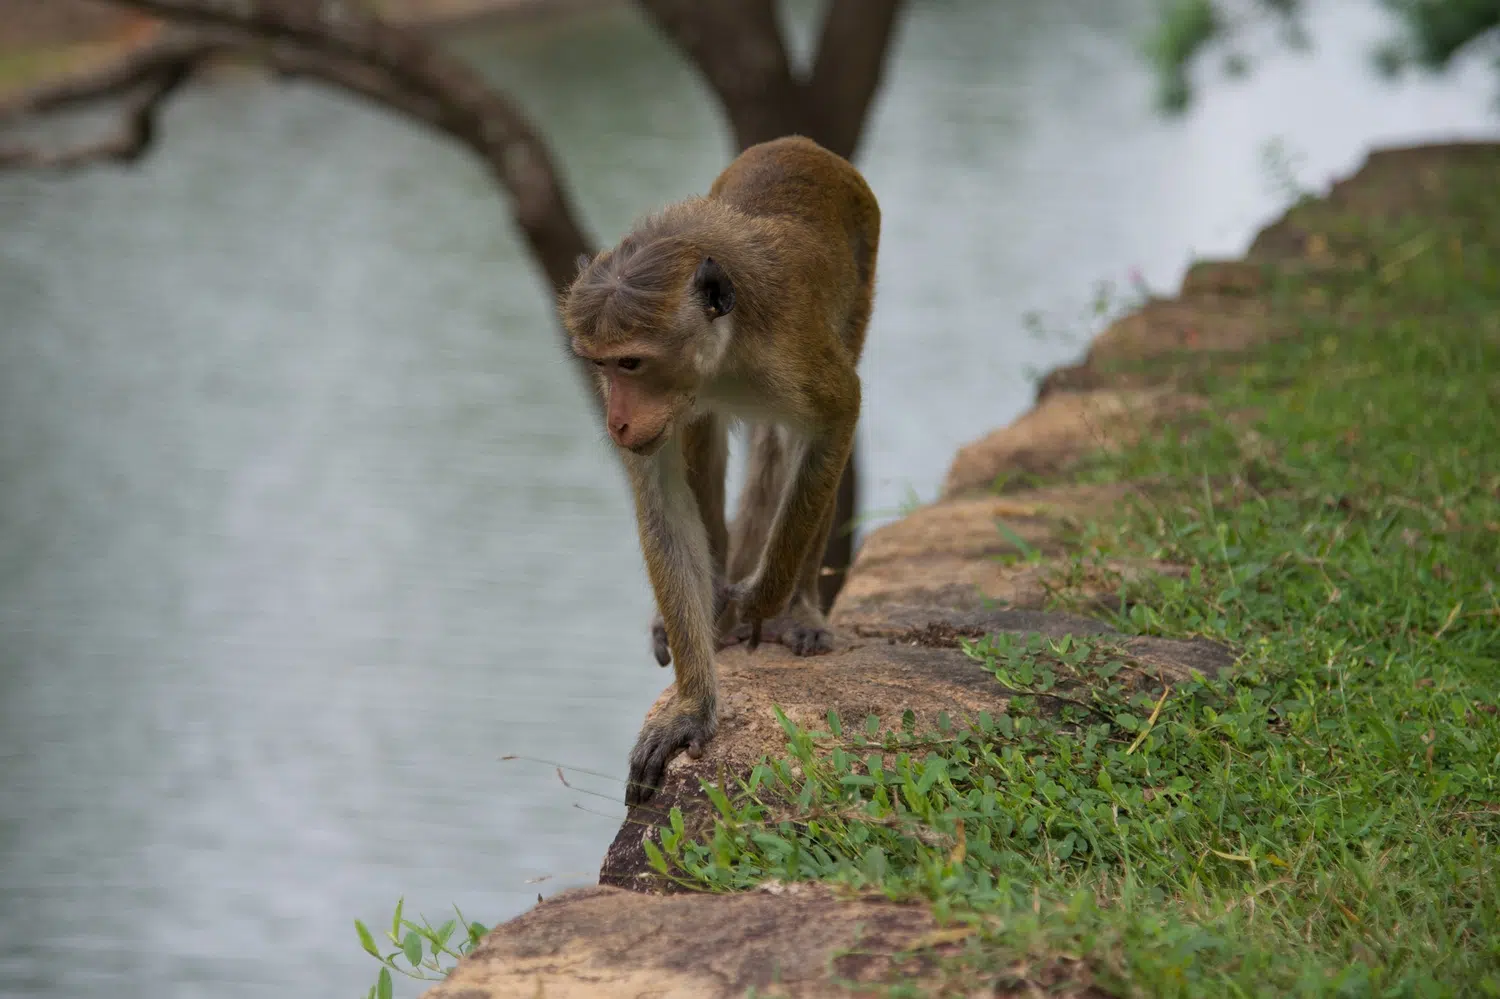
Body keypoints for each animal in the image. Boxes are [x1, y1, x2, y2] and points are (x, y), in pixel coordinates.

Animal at [561, 135, 879, 806]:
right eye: (601, 364)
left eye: (632, 362)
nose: (616, 422)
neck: (722, 357)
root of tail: (802, 145)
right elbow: (666, 506)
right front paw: (693, 707)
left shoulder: (795, 353)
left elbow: (839, 417)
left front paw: (763, 596)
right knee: (705, 442)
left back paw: (796, 608)